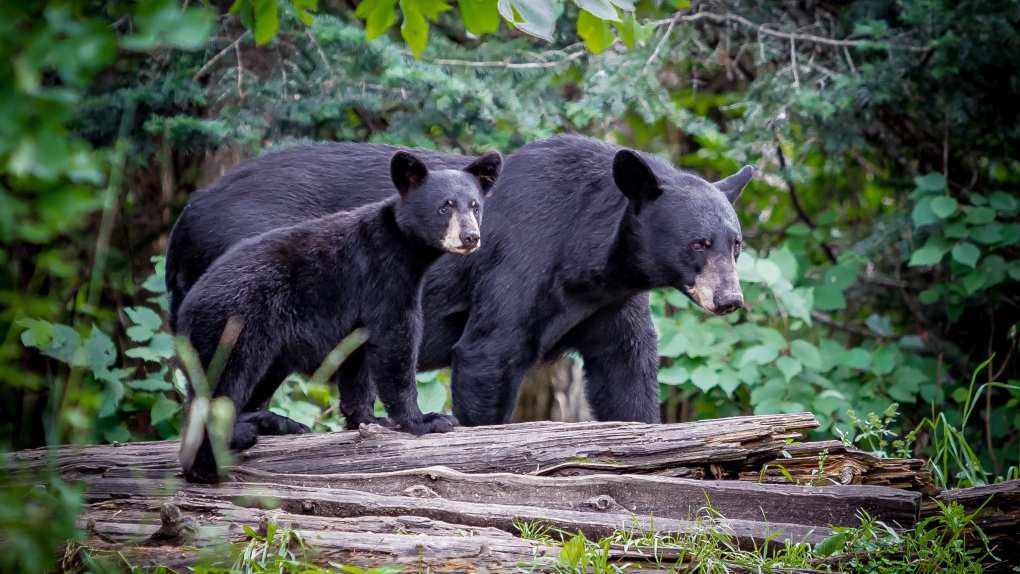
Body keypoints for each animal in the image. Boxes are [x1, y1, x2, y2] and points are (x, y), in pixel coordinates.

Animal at [167, 136, 754, 428]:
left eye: (736, 243)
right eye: (698, 243)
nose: (730, 299)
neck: (588, 256)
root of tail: (184, 218)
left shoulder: (610, 300)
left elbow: (627, 372)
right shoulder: (522, 259)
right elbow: (487, 354)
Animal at [174, 150, 501, 483]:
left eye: (475, 206)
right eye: (444, 207)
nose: (471, 237)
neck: (402, 246)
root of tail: (187, 306)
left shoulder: (359, 306)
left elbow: (357, 358)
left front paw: (369, 420)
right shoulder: (381, 276)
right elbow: (395, 341)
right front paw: (426, 420)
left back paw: (269, 425)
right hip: (231, 327)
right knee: (221, 389)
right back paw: (210, 465)